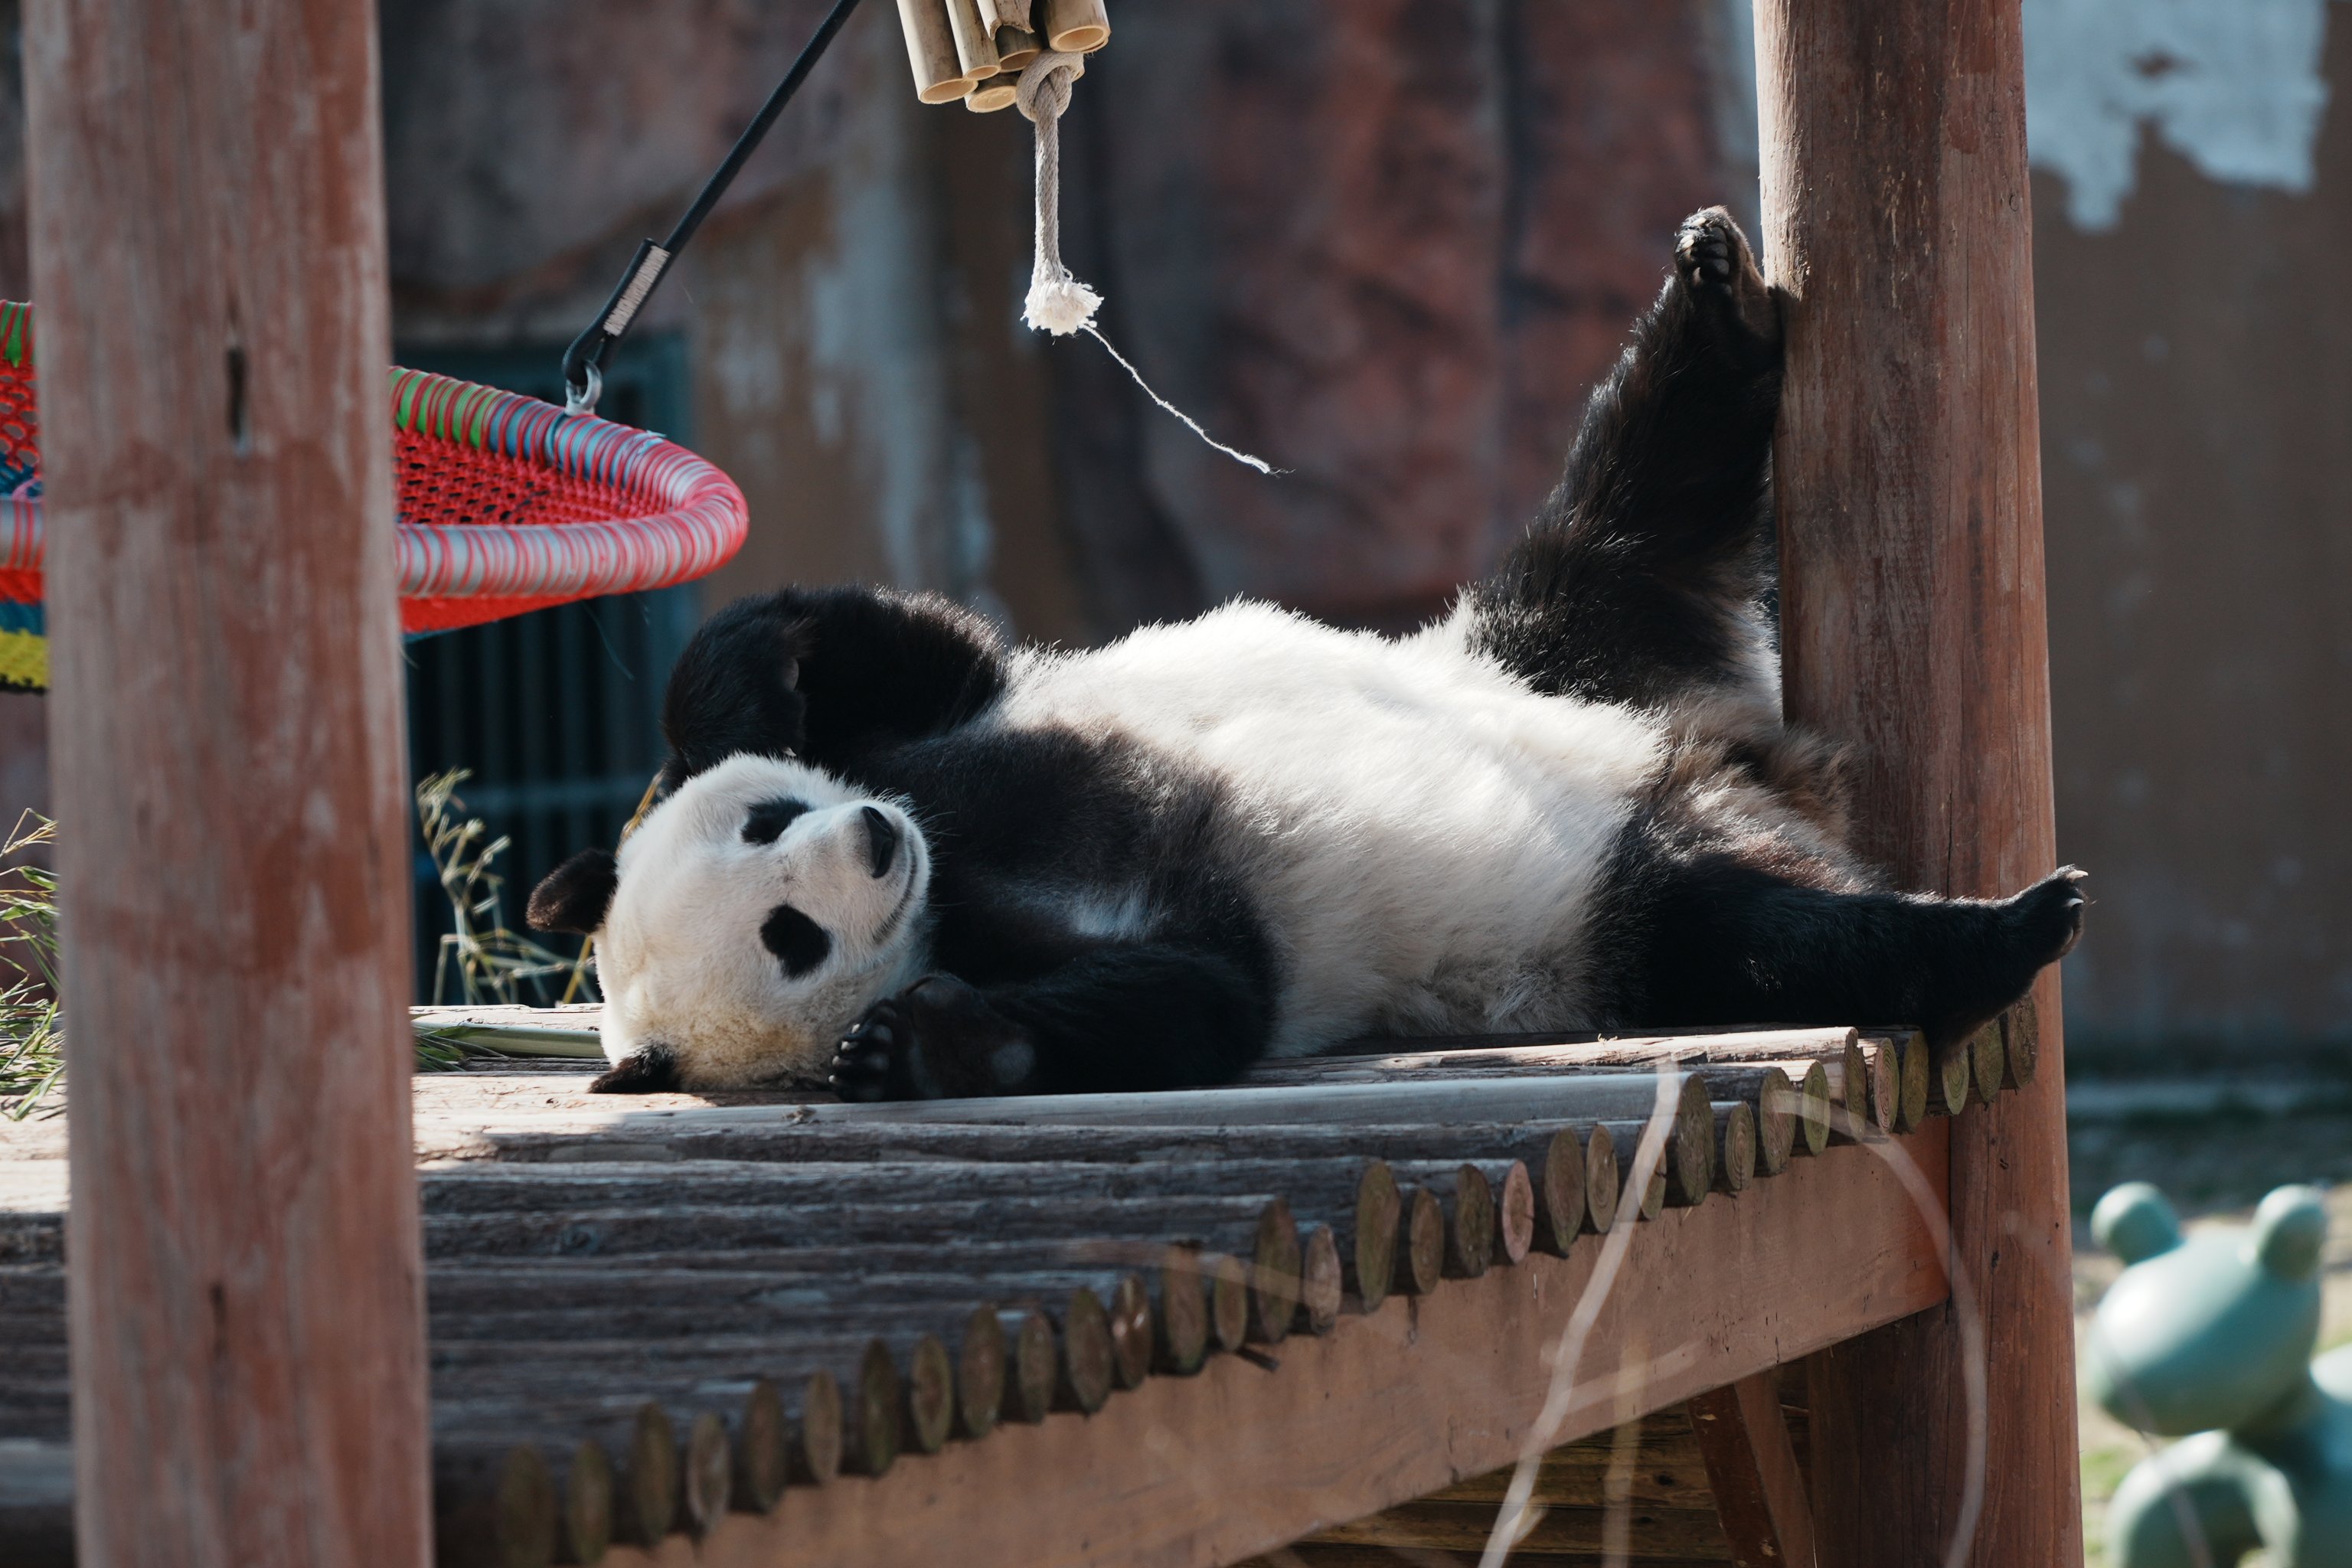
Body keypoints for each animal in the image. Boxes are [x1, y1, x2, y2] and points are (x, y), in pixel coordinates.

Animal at [529, 207, 2079, 1105]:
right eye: (788, 938)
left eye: (771, 826)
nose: (864, 843)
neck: (953, 868)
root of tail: (1726, 756)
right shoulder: (1028, 924)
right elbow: (1204, 993)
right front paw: (918, 1047)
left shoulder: (965, 731)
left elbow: (919, 650)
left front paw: (742, 696)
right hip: (1600, 906)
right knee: (1745, 930)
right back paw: (1990, 934)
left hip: (1551, 645)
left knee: (1630, 504)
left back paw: (1714, 288)